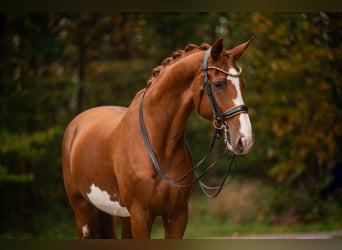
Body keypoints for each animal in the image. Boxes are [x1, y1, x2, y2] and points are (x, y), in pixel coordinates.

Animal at [61, 37, 254, 238]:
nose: (244, 139)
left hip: (123, 216)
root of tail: (76, 124)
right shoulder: (141, 215)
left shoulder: (177, 216)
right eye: (218, 84)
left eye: (242, 84)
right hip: (84, 212)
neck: (160, 147)